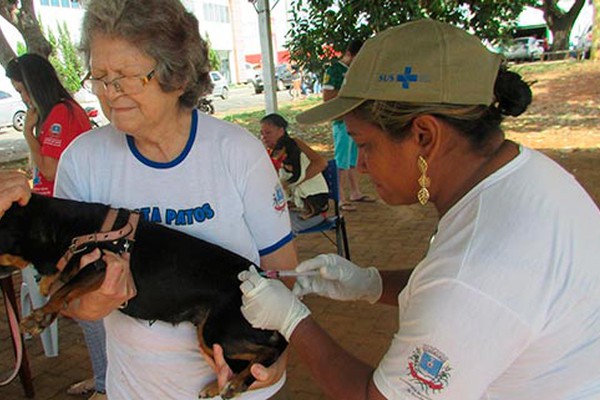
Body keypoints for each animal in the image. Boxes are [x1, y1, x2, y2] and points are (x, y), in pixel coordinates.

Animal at [0, 193, 288, 396]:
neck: (69, 230)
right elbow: (60, 288)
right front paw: (44, 308)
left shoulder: (99, 268)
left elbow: (62, 292)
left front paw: (38, 316)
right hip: (211, 336)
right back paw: (217, 386)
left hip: (218, 331)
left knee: (272, 350)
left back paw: (235, 385)